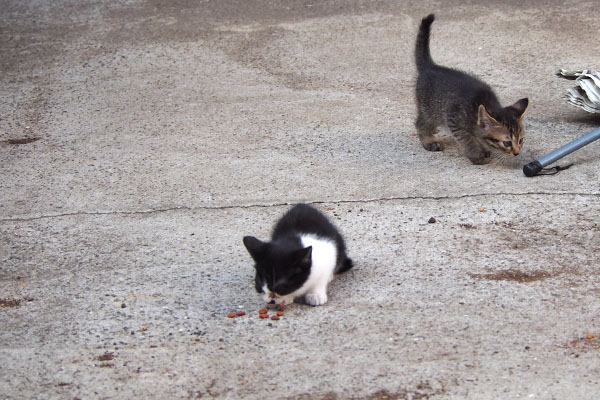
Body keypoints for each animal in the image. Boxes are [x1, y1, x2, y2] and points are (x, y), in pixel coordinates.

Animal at [414, 14, 528, 164]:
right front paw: (476, 154)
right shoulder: (454, 120)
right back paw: (428, 140)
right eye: (507, 143)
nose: (517, 153)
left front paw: (484, 148)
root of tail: (430, 66)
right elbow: (467, 139)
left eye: (521, 140)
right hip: (431, 111)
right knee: (420, 123)